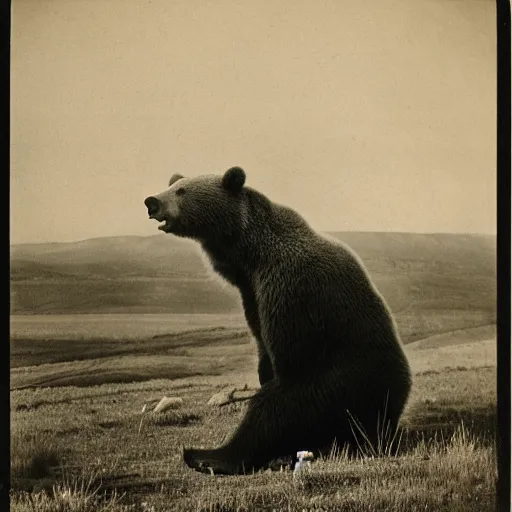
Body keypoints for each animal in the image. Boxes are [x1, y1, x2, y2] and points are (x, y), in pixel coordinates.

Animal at [143, 166, 412, 474]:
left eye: (181, 191)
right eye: (173, 186)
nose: (152, 202)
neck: (250, 256)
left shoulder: (291, 288)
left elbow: (289, 368)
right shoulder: (250, 294)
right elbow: (261, 341)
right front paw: (262, 369)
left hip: (352, 383)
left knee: (279, 408)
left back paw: (206, 455)